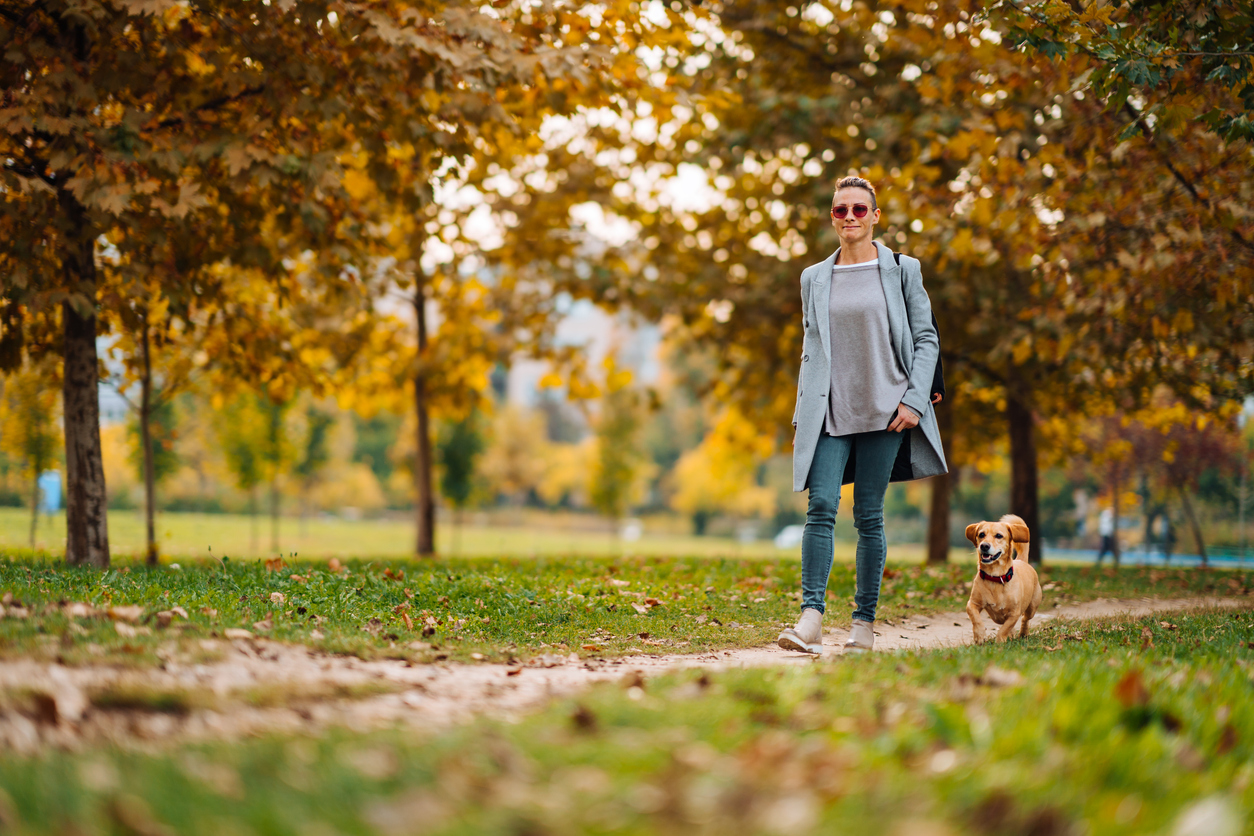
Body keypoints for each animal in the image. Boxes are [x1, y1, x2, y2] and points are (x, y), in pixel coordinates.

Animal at [963, 513, 1043, 646]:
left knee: (1025, 619)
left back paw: (1023, 633)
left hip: (1032, 607)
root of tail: (1021, 560)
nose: (984, 545)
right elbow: (976, 619)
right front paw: (979, 636)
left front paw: (1000, 642)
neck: (994, 577)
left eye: (999, 535)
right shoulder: (972, 604)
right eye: (981, 534)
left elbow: (1004, 629)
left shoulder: (1014, 613)